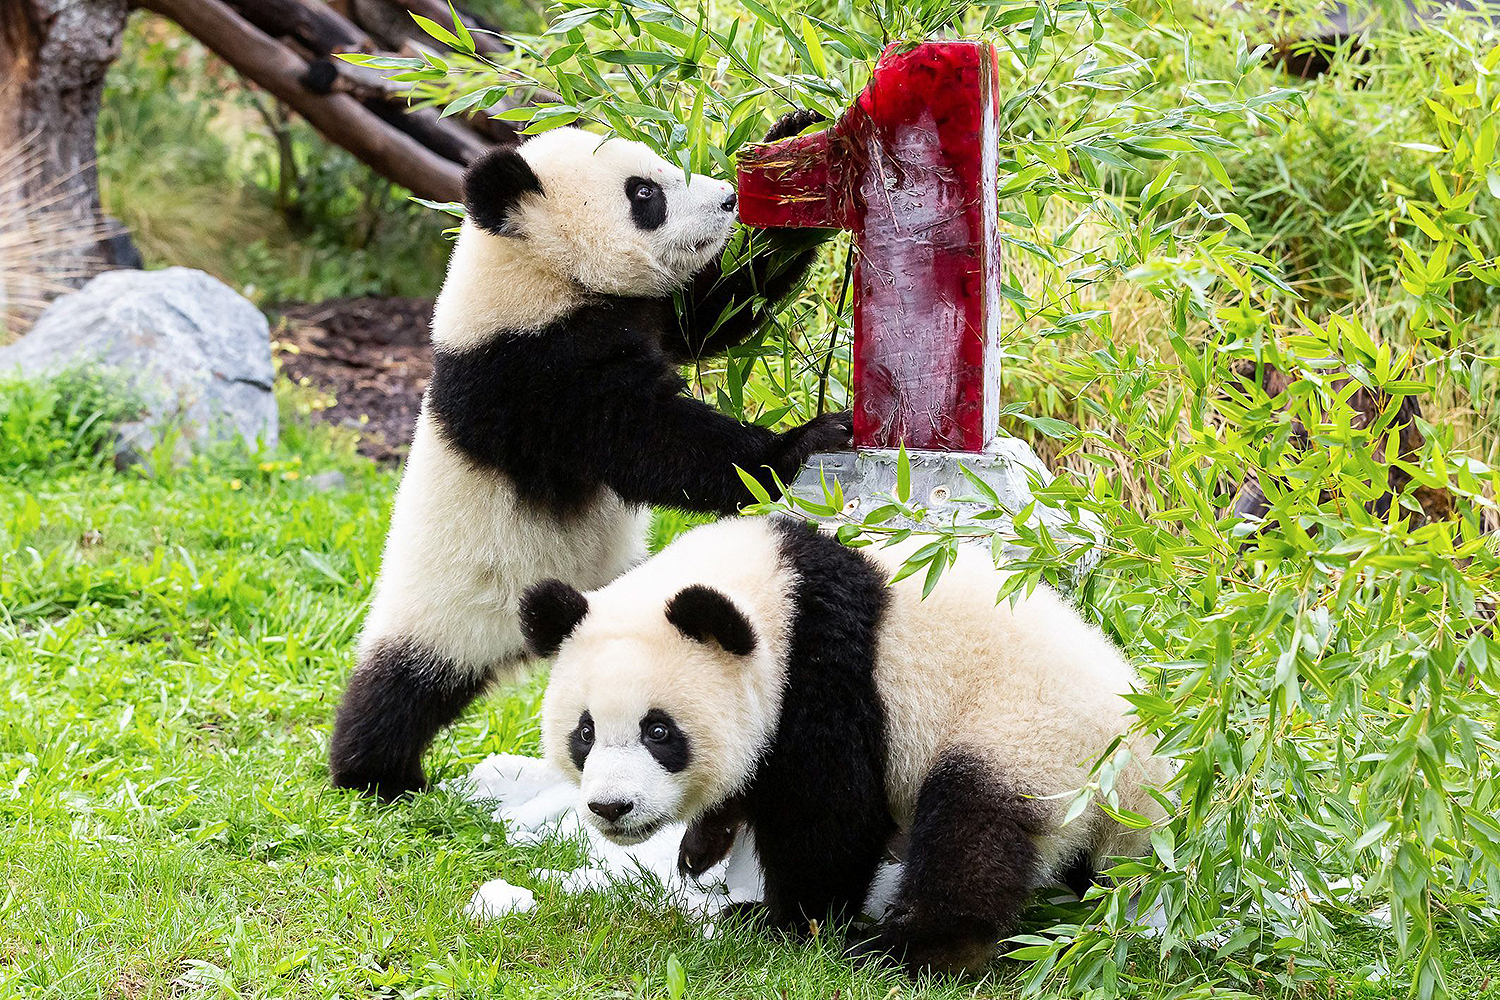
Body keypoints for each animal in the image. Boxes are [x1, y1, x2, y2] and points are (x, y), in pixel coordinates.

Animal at [329, 114, 850, 799]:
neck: (534, 268)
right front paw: (802, 442)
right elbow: (647, 439)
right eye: (644, 193)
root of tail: (519, 644)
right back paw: (373, 773)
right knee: (401, 689)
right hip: (446, 602)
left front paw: (793, 162)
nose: (725, 200)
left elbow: (716, 312)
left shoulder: (640, 315)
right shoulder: (528, 369)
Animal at [519, 516, 1173, 973]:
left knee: (970, 836)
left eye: (659, 732)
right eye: (585, 733)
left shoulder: (827, 677)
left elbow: (830, 820)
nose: (611, 807)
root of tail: (1149, 777)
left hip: (1033, 740)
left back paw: (906, 952)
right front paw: (703, 845)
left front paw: (789, 925)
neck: (777, 590)